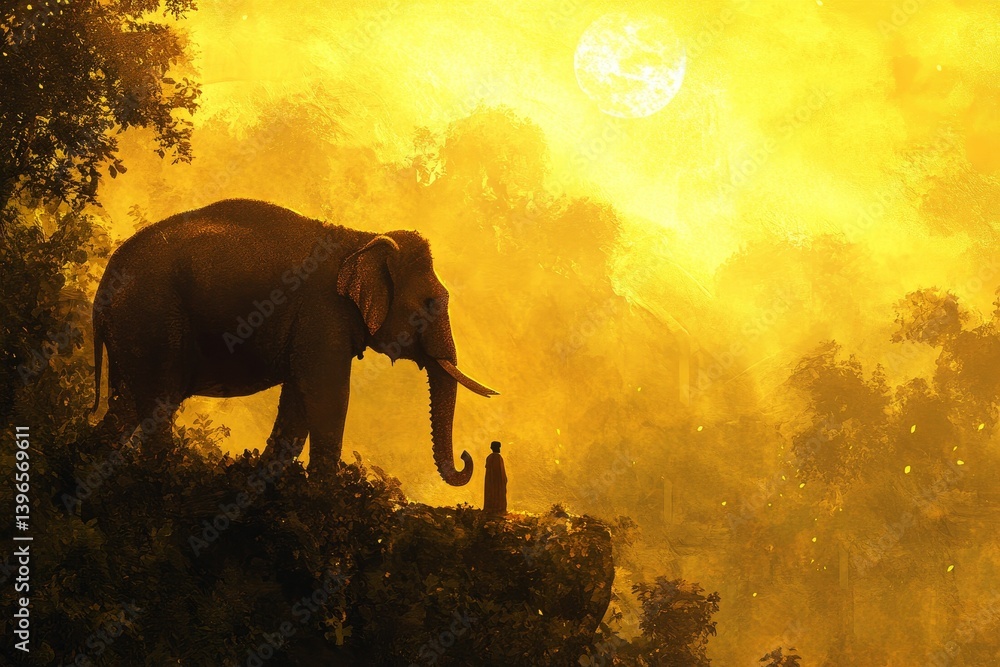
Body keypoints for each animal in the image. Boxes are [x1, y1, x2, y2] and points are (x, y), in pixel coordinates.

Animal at [90, 198, 497, 485]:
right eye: (431, 304)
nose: (467, 457)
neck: (360, 239)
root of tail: (103, 286)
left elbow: (299, 400)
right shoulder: (324, 313)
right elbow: (326, 394)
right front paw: (325, 495)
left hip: (134, 328)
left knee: (125, 408)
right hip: (153, 316)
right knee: (158, 404)